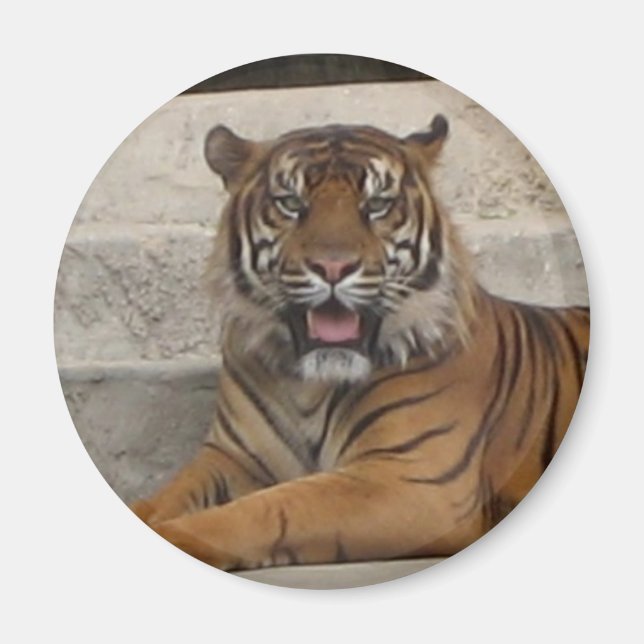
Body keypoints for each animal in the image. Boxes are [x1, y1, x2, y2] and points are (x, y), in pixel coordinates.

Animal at [130, 114, 590, 572]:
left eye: (378, 205)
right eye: (291, 203)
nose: (333, 267)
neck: (308, 386)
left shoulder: (414, 481)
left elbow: (269, 509)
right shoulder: (231, 458)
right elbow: (167, 496)